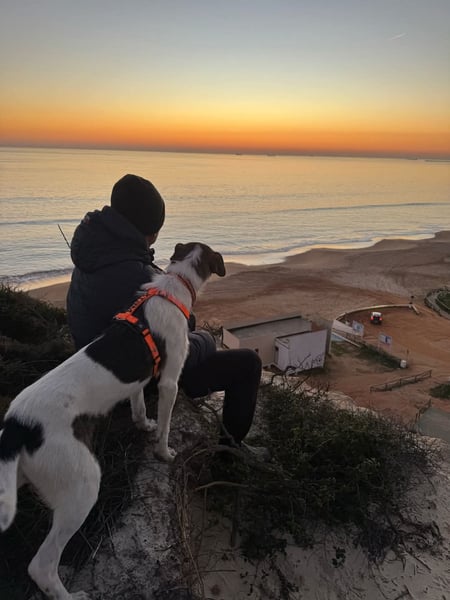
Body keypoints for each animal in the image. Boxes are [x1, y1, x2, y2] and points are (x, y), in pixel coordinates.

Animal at [0, 242, 225, 600]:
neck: (173, 287)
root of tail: (17, 426)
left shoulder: (138, 382)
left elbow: (138, 406)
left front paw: (143, 425)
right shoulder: (169, 381)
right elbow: (165, 425)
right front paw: (164, 451)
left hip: (20, 477)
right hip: (82, 484)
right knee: (42, 566)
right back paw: (70, 595)